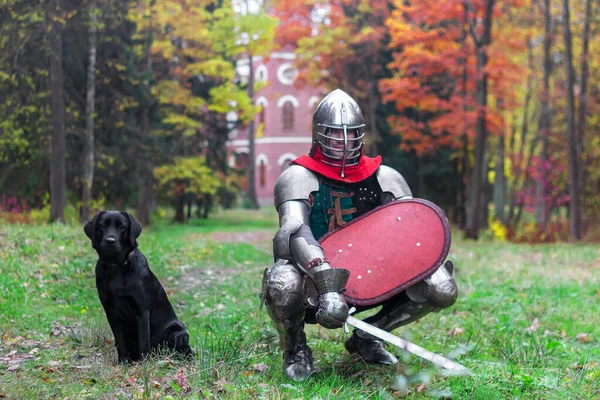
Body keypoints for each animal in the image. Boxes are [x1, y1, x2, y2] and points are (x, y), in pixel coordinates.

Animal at [84, 212, 191, 362]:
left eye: (122, 226)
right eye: (102, 225)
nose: (110, 241)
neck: (116, 267)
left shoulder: (142, 311)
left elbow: (143, 341)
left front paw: (144, 363)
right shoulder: (111, 312)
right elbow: (120, 342)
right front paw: (123, 362)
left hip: (178, 332)